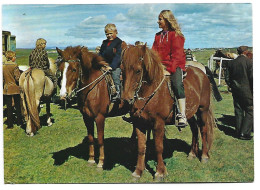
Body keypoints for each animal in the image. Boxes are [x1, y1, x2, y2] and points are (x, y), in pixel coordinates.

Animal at [121, 45, 214, 180]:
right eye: (122, 69)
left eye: (138, 71)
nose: (126, 98)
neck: (151, 91)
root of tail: (201, 73)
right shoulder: (139, 123)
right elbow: (141, 147)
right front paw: (138, 171)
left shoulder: (159, 123)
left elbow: (159, 147)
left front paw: (160, 172)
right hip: (190, 113)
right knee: (194, 130)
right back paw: (192, 153)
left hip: (203, 110)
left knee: (203, 130)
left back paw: (204, 156)